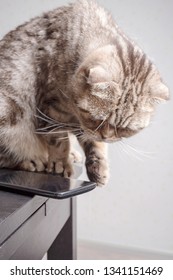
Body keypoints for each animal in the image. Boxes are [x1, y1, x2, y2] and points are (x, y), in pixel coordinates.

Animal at [0, 0, 169, 186]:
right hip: (8, 111)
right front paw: (60, 163)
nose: (106, 136)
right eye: (98, 120)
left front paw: (98, 166)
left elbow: (93, 144)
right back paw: (31, 161)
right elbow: (59, 141)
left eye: (124, 129)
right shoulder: (50, 109)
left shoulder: (81, 125)